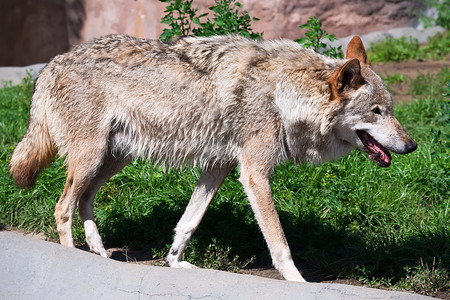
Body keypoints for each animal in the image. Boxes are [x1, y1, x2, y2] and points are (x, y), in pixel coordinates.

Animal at [8, 34, 416, 282]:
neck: (284, 96)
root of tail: (53, 62)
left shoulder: (218, 167)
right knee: (63, 207)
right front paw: (299, 283)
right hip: (92, 159)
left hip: (112, 160)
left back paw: (99, 254)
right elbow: (280, 244)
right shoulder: (254, 174)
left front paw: (174, 262)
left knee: (85, 200)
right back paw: (75, 260)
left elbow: (188, 222)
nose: (411, 146)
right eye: (376, 112)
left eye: (391, 110)